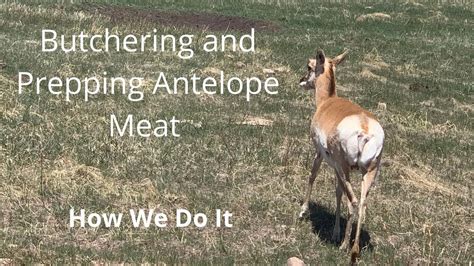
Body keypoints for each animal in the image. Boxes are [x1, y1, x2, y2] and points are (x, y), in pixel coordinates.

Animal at [300, 48, 386, 260]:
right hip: (368, 172)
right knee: (362, 204)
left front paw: (302, 211)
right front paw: (335, 232)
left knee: (352, 202)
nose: (302, 80)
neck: (328, 102)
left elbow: (312, 176)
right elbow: (337, 192)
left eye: (310, 66)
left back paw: (345, 246)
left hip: (344, 167)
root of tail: (364, 127)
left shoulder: (320, 154)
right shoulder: (335, 167)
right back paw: (354, 247)